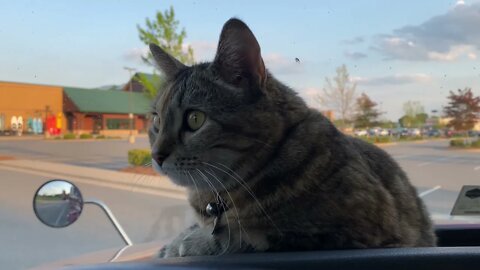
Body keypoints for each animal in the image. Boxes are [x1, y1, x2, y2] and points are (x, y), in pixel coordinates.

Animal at [147, 17, 436, 256]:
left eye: (195, 119)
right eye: (156, 121)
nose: (156, 156)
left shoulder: (357, 231)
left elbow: (245, 236)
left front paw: (187, 243)